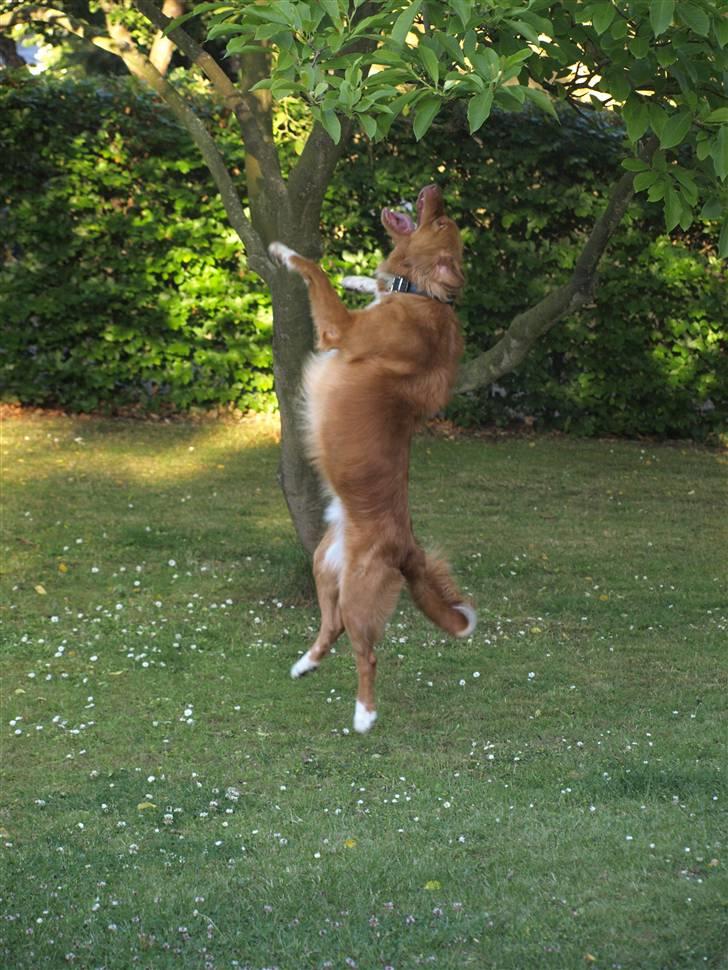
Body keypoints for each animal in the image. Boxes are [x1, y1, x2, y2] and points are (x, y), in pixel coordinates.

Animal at [270, 182, 474, 728]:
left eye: (442, 223)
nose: (434, 187)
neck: (423, 297)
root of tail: (407, 547)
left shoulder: (342, 329)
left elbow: (314, 272)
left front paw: (286, 252)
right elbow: (359, 281)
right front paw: (360, 277)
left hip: (361, 594)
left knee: (367, 652)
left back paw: (364, 714)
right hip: (324, 567)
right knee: (333, 627)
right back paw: (304, 664)